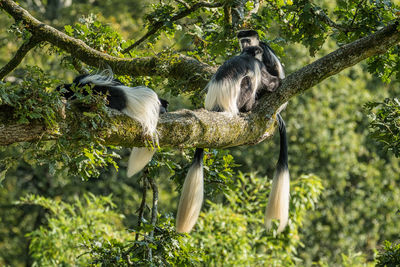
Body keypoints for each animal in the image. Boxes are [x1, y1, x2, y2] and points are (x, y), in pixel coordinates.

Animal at [177, 45, 280, 232]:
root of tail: (216, 107)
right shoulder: (257, 67)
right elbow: (268, 82)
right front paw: (276, 82)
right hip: (241, 96)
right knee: (248, 82)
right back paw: (249, 106)